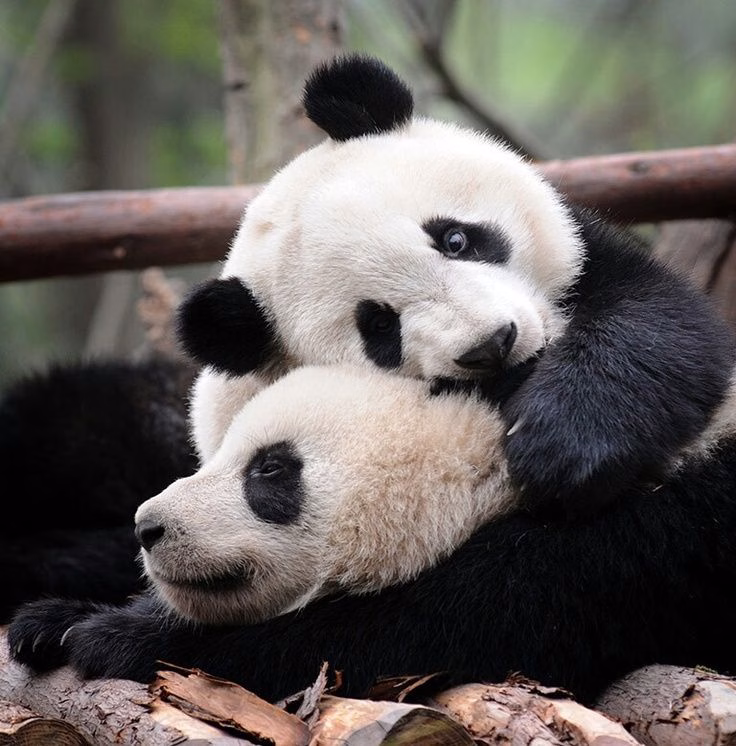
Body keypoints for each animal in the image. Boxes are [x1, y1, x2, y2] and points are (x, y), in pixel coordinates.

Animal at [9, 362, 736, 705]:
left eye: (270, 468)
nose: (149, 527)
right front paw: (53, 620)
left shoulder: (639, 547)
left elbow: (410, 638)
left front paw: (117, 638)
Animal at [178, 54, 736, 518]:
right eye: (380, 327)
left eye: (455, 239)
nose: (493, 344)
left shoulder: (593, 260)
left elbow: (660, 325)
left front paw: (563, 444)